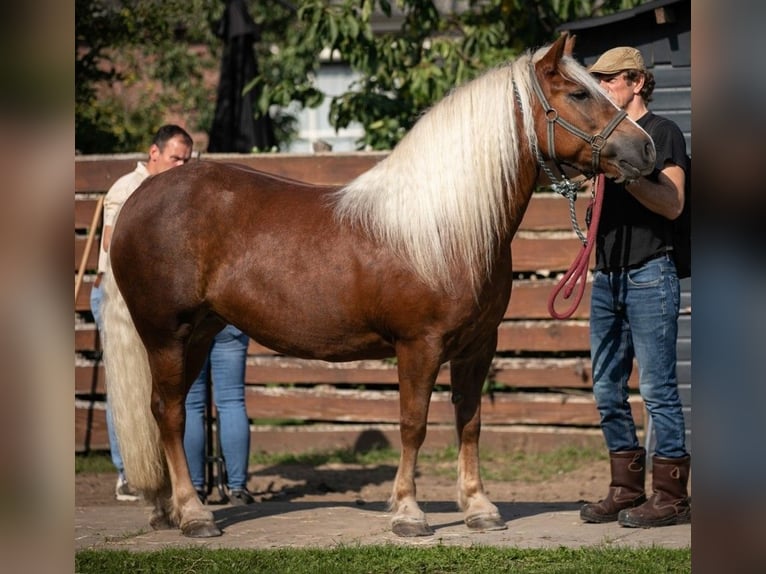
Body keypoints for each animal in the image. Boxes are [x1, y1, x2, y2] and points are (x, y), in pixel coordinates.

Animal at [100, 35, 656, 540]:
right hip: (167, 334)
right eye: (579, 94)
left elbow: (470, 422)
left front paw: (479, 508)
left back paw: (168, 510)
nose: (646, 148)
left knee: (160, 411)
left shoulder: (478, 346)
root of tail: (138, 200)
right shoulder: (418, 346)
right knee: (171, 414)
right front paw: (409, 513)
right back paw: (194, 515)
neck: (444, 227)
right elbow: (413, 424)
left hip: (199, 334)